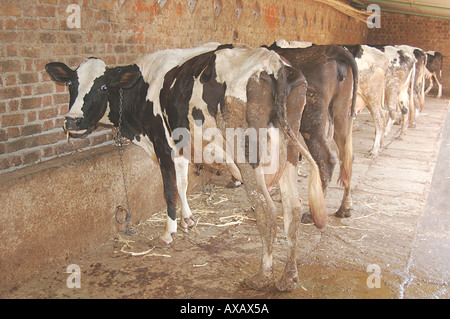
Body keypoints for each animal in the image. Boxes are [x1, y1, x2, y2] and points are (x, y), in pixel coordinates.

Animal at [46, 43, 326, 294]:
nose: (72, 121)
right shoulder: (179, 147)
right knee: (293, 208)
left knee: (267, 211)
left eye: (103, 86)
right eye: (71, 85)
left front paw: (168, 233)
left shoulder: (162, 144)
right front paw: (188, 219)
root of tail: (272, 61)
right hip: (289, 151)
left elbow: (169, 190)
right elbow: (182, 184)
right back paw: (288, 278)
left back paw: (262, 278)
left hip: (248, 154)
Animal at [268, 40, 358, 220]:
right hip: (341, 110)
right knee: (347, 157)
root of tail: (332, 49)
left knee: (326, 159)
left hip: (311, 118)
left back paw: (313, 213)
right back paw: (345, 208)